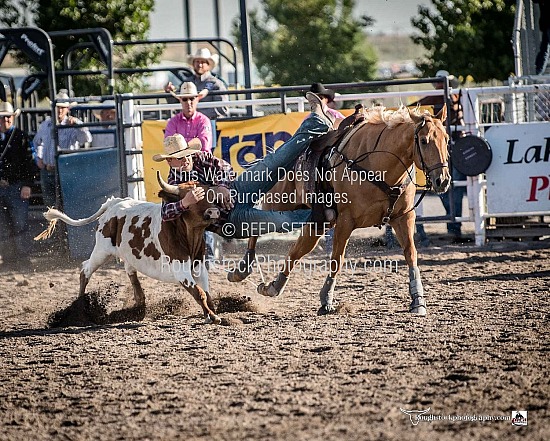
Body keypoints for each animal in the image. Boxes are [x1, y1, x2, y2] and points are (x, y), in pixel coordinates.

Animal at [229, 105, 452, 314]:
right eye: (423, 140)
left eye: (447, 139)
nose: (442, 180)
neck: (378, 164)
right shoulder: (346, 221)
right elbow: (337, 259)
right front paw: (326, 299)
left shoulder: (403, 217)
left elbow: (411, 254)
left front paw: (418, 300)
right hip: (280, 202)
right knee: (256, 226)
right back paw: (242, 269)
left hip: (316, 222)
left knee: (296, 251)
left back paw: (274, 286)